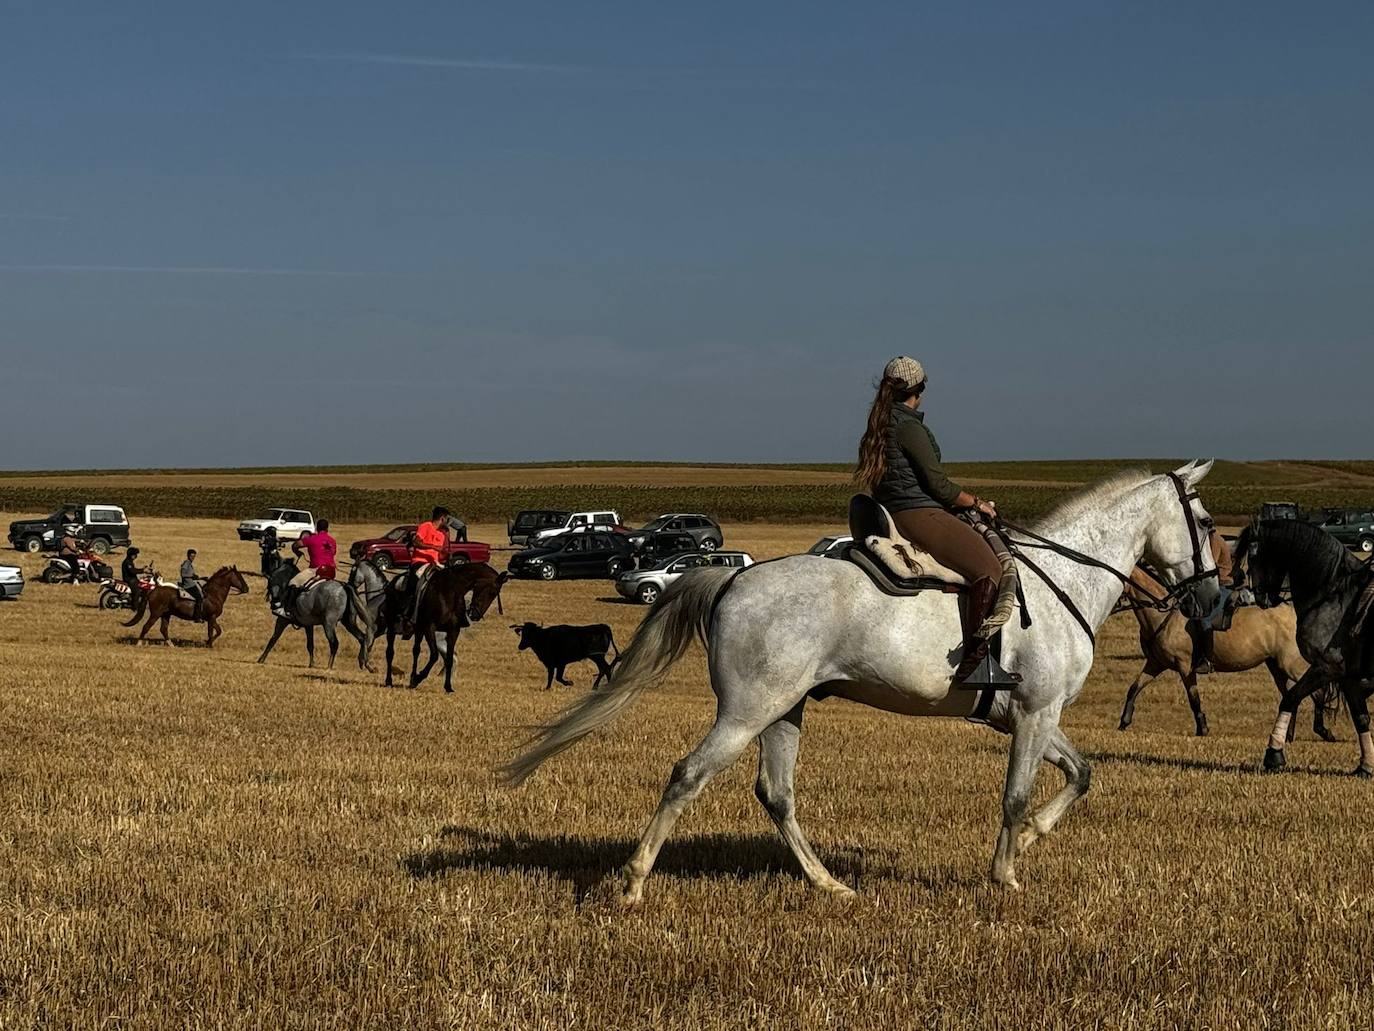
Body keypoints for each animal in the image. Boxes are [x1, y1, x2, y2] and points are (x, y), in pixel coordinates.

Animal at [122, 566, 250, 646]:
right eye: (239, 576)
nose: (246, 589)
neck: (213, 594)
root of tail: (154, 589)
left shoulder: (212, 619)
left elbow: (218, 631)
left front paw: (207, 642)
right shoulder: (211, 618)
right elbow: (213, 632)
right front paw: (209, 644)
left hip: (166, 614)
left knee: (163, 629)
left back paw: (171, 645)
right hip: (156, 613)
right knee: (146, 626)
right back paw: (139, 643)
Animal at [376, 566, 511, 695]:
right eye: (492, 592)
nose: (476, 615)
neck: (451, 592)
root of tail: (394, 581)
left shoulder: (453, 631)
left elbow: (449, 659)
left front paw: (448, 687)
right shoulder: (430, 628)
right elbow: (434, 656)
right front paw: (419, 678)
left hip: (418, 630)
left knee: (416, 651)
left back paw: (411, 678)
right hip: (392, 626)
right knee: (390, 652)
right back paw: (389, 681)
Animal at [505, 464, 1225, 901]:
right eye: (1208, 522)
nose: (1213, 597)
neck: (1064, 581)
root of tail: (734, 578)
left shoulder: (1028, 716)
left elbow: (1082, 773)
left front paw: (1026, 843)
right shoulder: (1033, 711)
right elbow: (1018, 795)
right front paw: (1005, 874)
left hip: (785, 710)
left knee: (776, 794)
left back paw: (828, 884)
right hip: (747, 711)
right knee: (689, 775)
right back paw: (632, 881)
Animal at [1115, 566, 1330, 742]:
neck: (1163, 617)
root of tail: (1293, 614)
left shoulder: (1185, 667)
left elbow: (1194, 699)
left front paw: (1202, 729)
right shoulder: (1155, 663)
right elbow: (1134, 688)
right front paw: (1123, 722)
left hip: (1290, 664)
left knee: (1317, 692)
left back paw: (1323, 731)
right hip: (1276, 666)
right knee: (1290, 696)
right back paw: (1288, 735)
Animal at [1242, 519, 1374, 780]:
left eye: (1253, 558)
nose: (1261, 598)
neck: (1333, 595)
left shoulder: (1326, 667)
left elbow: (1290, 698)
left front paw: (1274, 755)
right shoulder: (1348, 677)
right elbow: (1361, 718)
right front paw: (1366, 766)